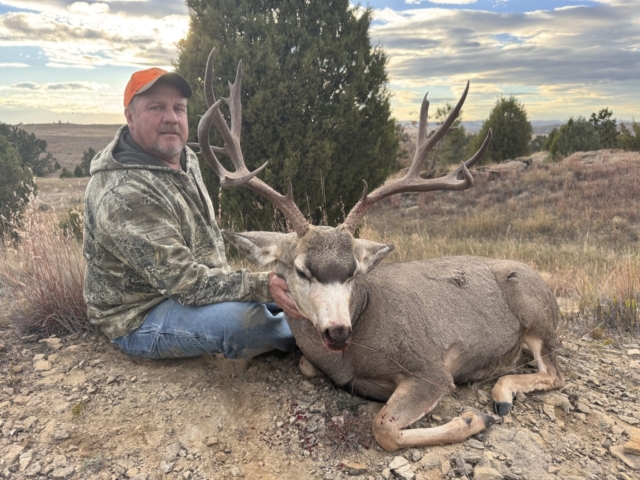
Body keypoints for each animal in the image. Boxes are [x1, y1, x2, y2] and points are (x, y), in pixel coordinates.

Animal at [193, 49, 565, 452]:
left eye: (353, 272)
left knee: (554, 372)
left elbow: (383, 427)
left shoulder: (430, 368)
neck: (353, 351)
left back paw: (499, 396)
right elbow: (307, 366)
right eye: (302, 269)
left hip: (536, 313)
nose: (339, 331)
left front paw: (472, 418)